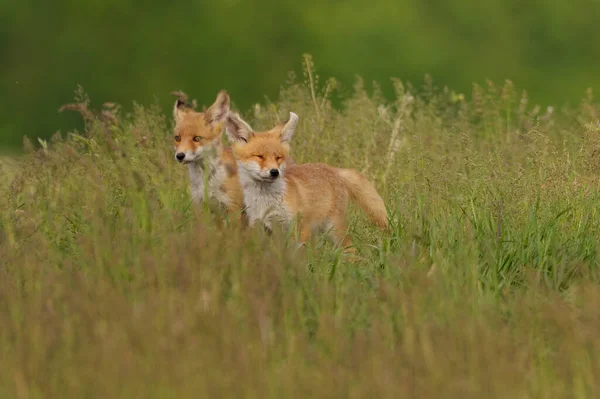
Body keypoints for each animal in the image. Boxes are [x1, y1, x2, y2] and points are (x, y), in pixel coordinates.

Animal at [225, 111, 390, 255]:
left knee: (351, 250)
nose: (274, 172)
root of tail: (334, 169)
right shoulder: (262, 228)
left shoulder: (299, 227)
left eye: (279, 157)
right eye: (259, 156)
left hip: (334, 229)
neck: (266, 202)